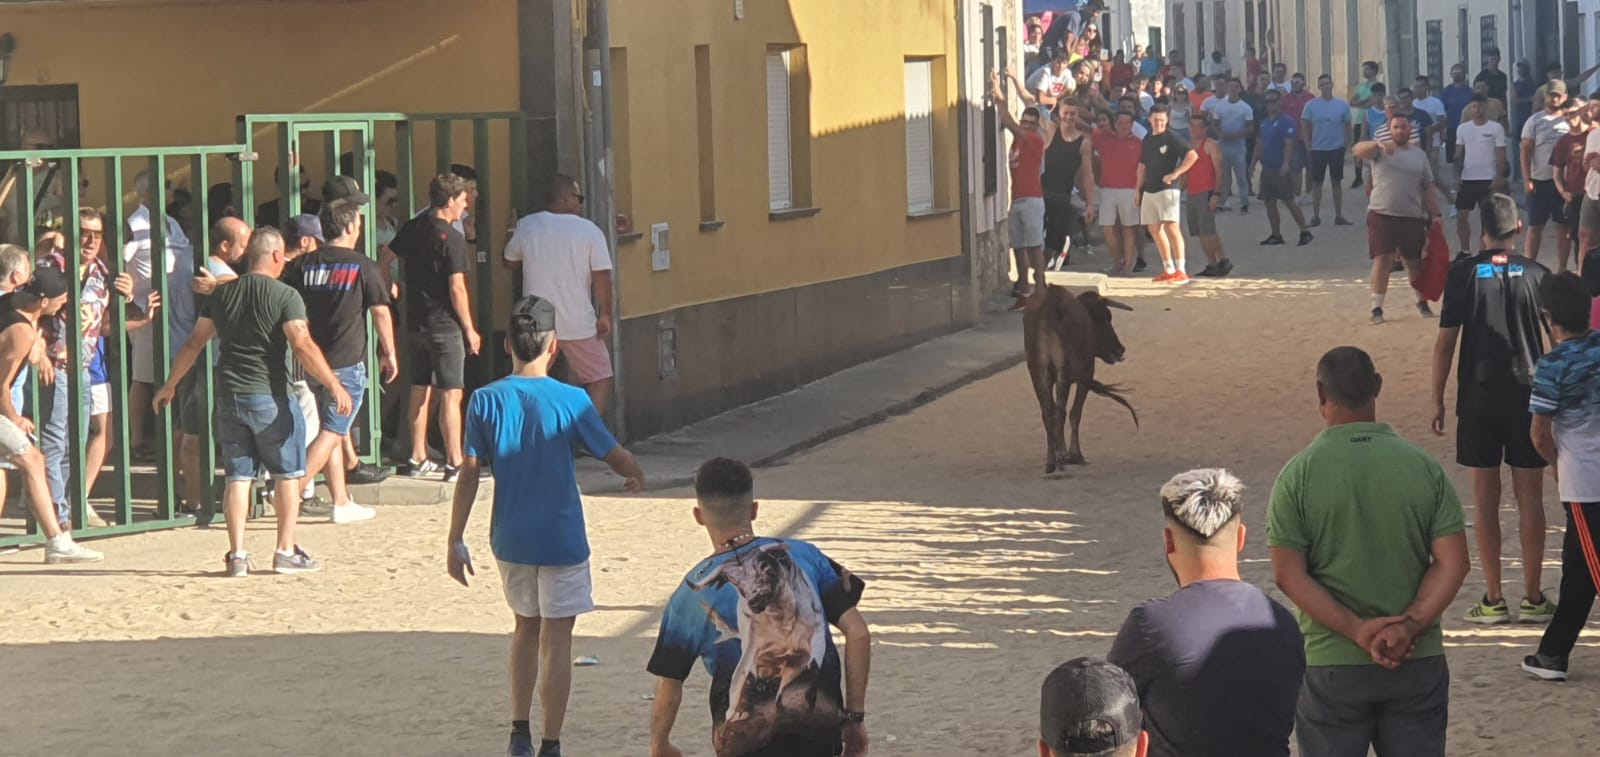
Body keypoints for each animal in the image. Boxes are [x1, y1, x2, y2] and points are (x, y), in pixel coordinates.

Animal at [1024, 284, 1139, 473]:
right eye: (1105, 318)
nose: (1120, 349)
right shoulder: (1086, 374)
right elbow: (1075, 413)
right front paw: (1075, 455)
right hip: (1064, 373)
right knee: (1061, 412)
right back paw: (1060, 458)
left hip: (1038, 374)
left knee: (1048, 413)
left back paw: (1051, 462)